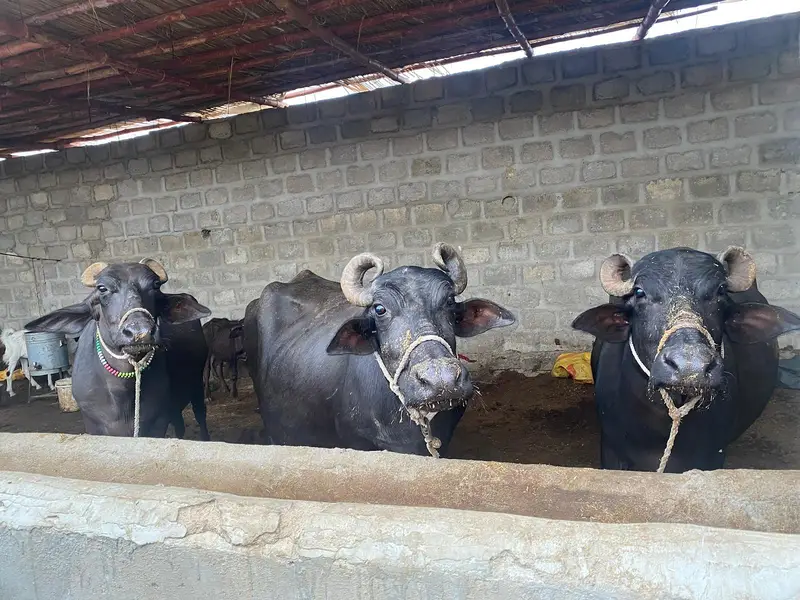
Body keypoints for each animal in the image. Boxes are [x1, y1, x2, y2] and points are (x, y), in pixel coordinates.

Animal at [25, 258, 212, 439]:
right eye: (102, 288)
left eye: (155, 285)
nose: (140, 332)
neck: (121, 394)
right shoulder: (92, 423)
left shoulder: (157, 421)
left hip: (196, 384)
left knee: (200, 414)